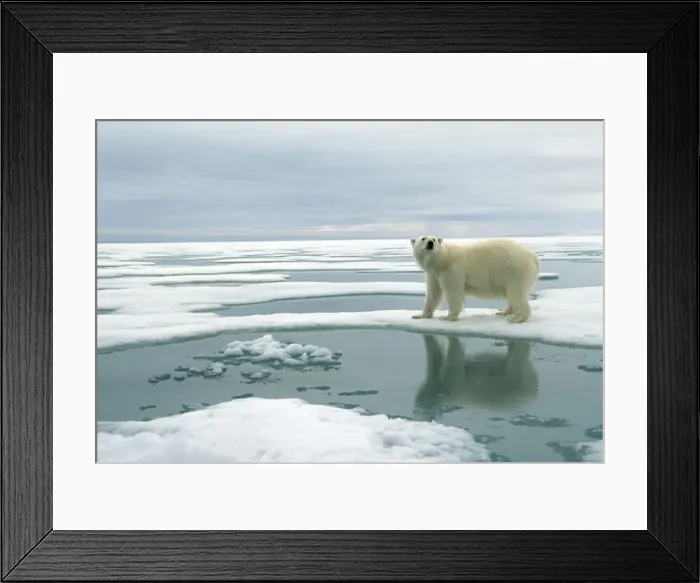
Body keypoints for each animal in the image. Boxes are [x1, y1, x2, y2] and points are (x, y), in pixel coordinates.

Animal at [410, 236, 540, 323]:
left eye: (434, 239)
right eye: (423, 238)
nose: (430, 243)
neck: (442, 259)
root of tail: (533, 257)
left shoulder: (451, 270)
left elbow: (453, 291)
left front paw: (447, 317)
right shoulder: (433, 274)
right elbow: (433, 293)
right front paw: (420, 315)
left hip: (515, 271)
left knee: (516, 293)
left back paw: (515, 318)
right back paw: (504, 311)